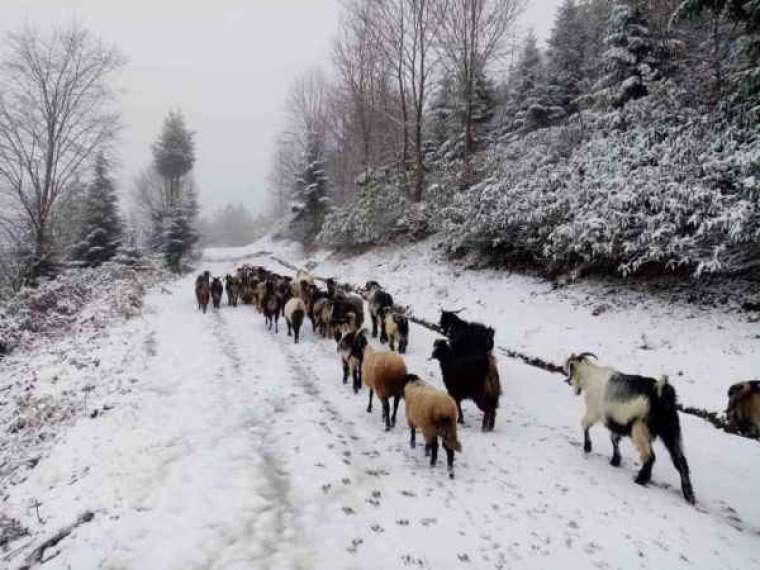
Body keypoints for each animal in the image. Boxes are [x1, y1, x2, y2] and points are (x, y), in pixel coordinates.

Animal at [564, 352, 696, 504]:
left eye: (571, 366)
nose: (568, 381)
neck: (591, 376)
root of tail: (661, 393)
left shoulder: (594, 411)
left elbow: (585, 424)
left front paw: (587, 447)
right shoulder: (618, 422)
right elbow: (614, 439)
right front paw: (615, 460)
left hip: (640, 429)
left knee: (650, 457)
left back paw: (640, 480)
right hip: (671, 431)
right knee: (680, 461)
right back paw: (689, 495)